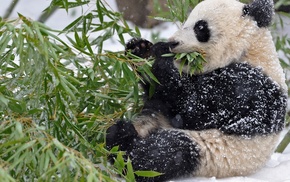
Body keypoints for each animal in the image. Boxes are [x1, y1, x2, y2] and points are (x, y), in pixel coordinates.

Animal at [106, 0, 288, 181]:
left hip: (211, 152)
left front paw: (157, 54)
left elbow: (194, 108)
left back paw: (121, 139)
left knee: (167, 151)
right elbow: (158, 95)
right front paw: (140, 49)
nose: (172, 43)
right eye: (185, 22)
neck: (250, 50)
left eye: (200, 27)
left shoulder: (248, 86)